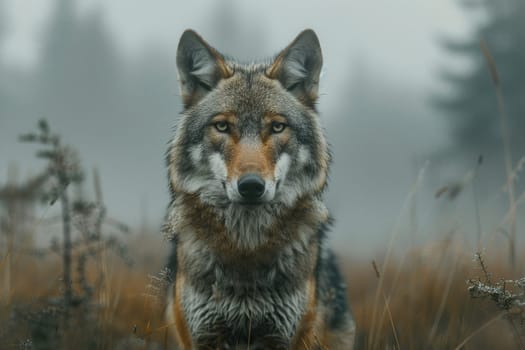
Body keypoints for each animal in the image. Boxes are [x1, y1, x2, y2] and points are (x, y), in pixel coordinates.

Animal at [162, 28, 354, 348]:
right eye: (222, 127)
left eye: (277, 127)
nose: (251, 186)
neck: (246, 247)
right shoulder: (202, 336)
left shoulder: (284, 337)